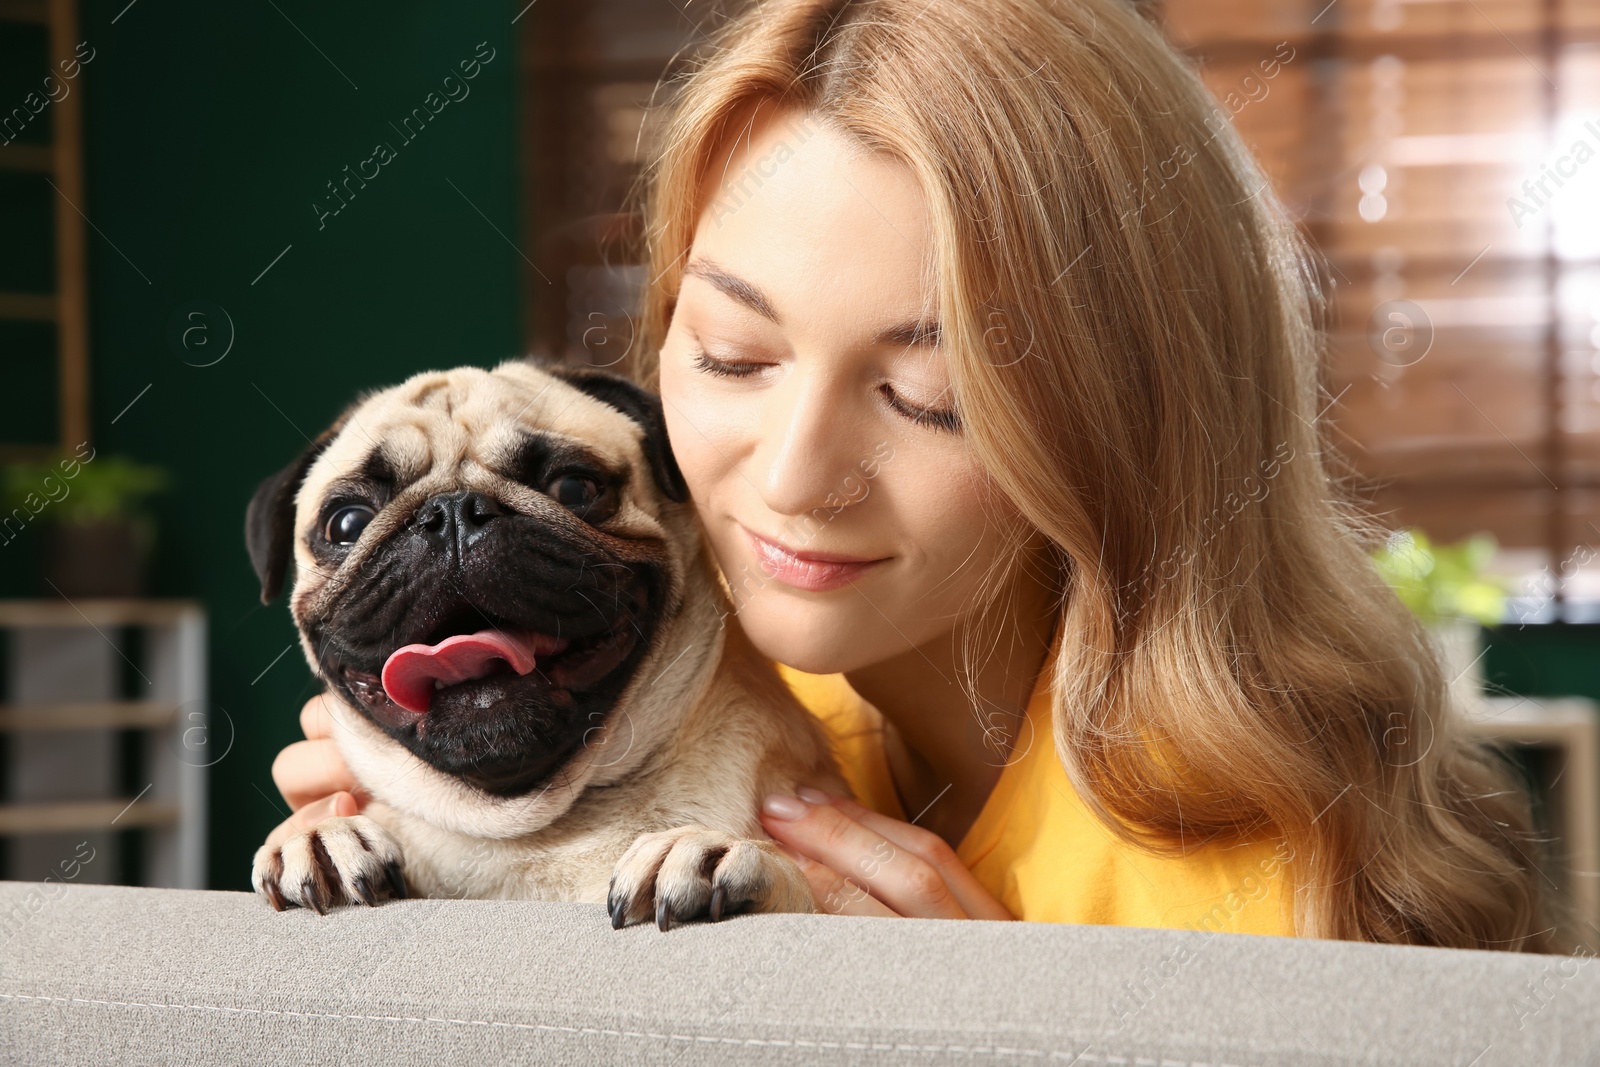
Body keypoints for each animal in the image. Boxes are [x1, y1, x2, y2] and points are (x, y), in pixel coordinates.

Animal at [240, 356, 851, 927]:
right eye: (346, 523)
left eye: (575, 487)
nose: (452, 512)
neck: (529, 830)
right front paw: (325, 837)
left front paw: (726, 852)